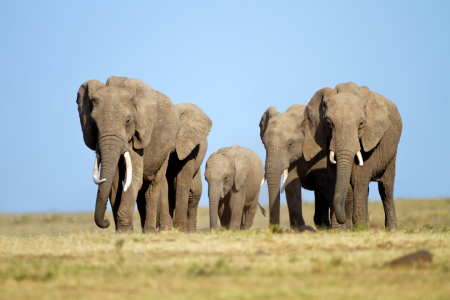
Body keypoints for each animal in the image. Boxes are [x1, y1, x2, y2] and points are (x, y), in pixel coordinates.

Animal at [76, 76, 212, 233]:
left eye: (128, 120)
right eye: (93, 122)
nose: (106, 222)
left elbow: (135, 179)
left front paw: (125, 232)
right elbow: (114, 182)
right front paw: (121, 232)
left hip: (165, 152)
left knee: (157, 186)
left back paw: (152, 231)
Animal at [302, 82, 400, 230]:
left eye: (361, 124)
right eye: (328, 123)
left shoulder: (370, 138)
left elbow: (359, 179)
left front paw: (360, 228)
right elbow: (336, 178)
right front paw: (339, 230)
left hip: (392, 151)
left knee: (385, 188)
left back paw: (391, 229)